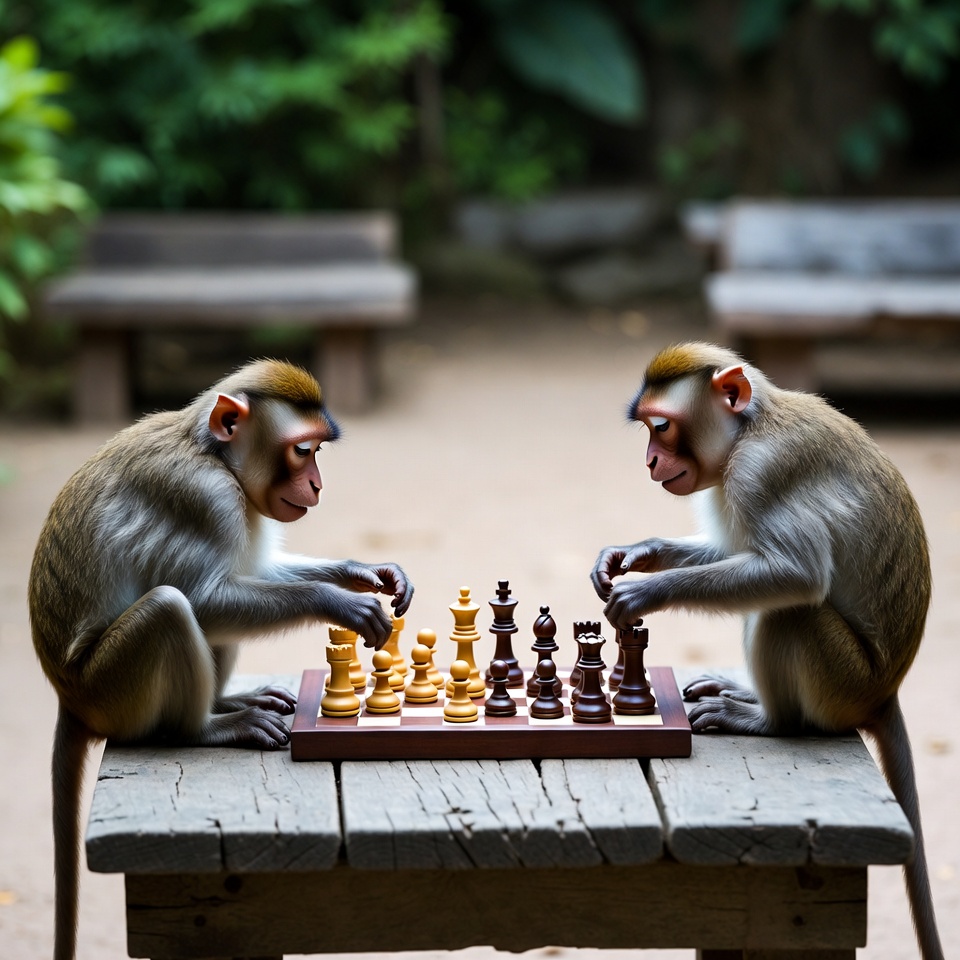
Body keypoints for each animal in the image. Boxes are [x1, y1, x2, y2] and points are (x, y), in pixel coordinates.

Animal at [29, 359, 414, 960]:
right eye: (303, 451)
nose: (318, 485)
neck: (212, 453)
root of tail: (68, 697)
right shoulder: (206, 497)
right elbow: (205, 595)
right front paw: (340, 602)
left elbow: (253, 572)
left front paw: (364, 572)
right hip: (110, 690)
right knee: (171, 606)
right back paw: (206, 728)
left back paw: (232, 701)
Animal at [591, 341, 943, 960]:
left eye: (662, 427)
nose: (650, 462)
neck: (751, 427)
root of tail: (885, 692)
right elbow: (736, 551)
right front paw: (636, 554)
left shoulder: (759, 472)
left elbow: (793, 572)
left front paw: (644, 592)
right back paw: (743, 693)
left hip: (842, 682)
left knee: (792, 612)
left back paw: (766, 720)